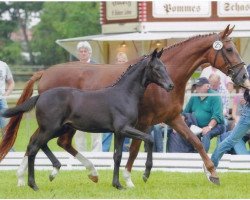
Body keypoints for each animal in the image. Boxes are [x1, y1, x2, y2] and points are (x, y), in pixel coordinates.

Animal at [1, 48, 174, 191]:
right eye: (156, 68)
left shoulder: (119, 133)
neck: (125, 94)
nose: (170, 86)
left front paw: (117, 185)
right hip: (51, 128)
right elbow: (149, 139)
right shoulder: (123, 128)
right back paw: (34, 184)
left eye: (165, 67)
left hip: (59, 128)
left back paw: (54, 171)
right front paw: (145, 174)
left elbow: (117, 156)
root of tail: (40, 96)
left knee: (39, 144)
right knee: (34, 148)